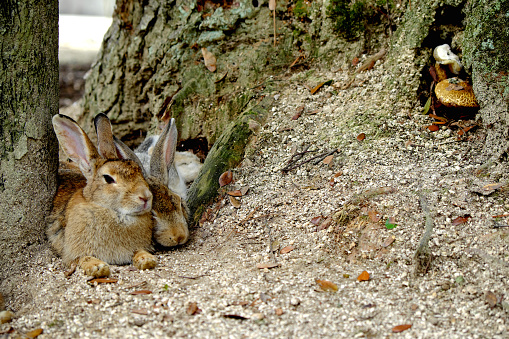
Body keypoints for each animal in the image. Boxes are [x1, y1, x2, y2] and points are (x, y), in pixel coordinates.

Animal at [47, 115, 157, 278]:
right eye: (108, 179)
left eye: (139, 171)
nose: (145, 197)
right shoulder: (73, 253)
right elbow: (82, 258)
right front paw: (98, 267)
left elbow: (138, 251)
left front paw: (147, 259)